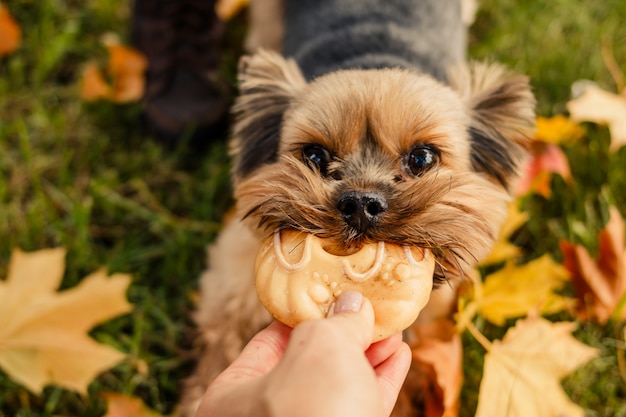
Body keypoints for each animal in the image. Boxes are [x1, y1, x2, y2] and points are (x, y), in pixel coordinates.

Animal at [178, 0, 532, 412]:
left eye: (422, 158)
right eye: (315, 155)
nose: (361, 203)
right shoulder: (235, 268)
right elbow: (224, 333)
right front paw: (202, 396)